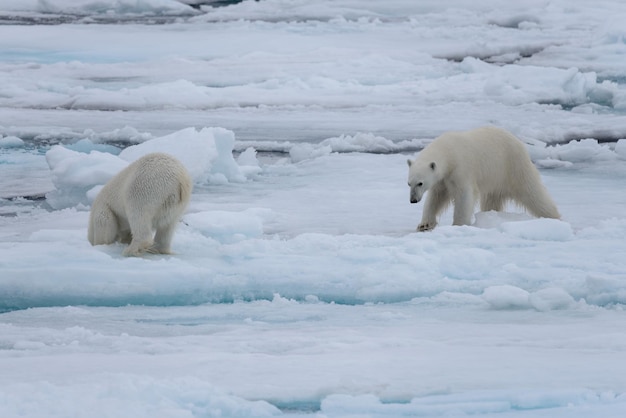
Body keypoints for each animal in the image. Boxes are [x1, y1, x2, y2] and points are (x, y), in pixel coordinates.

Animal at [408, 127, 560, 232]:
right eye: (409, 183)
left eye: (420, 183)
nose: (413, 200)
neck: (449, 152)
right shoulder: (442, 180)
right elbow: (436, 198)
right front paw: (424, 224)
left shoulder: (461, 169)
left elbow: (464, 196)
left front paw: (459, 224)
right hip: (496, 180)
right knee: (491, 200)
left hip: (513, 167)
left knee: (533, 193)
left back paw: (554, 217)